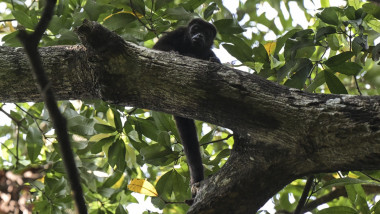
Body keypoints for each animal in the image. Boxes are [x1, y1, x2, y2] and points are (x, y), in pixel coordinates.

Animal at [153, 18, 220, 197]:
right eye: (195, 29)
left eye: (207, 33)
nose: (199, 35)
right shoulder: (176, 33)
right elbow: (158, 49)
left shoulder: (207, 50)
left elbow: (213, 58)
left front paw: (213, 61)